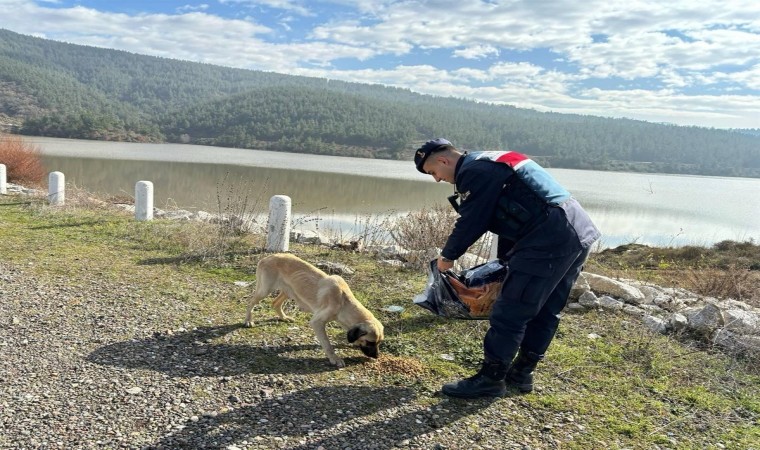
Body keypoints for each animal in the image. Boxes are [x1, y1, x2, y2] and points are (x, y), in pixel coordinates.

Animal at [245, 251, 382, 368]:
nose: (377, 356)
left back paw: (284, 317)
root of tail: (266, 258)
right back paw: (248, 320)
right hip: (265, 290)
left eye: (379, 342)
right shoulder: (317, 322)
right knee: (250, 302)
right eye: (370, 342)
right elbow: (327, 344)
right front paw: (334, 358)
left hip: (289, 291)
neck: (344, 302)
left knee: (275, 303)